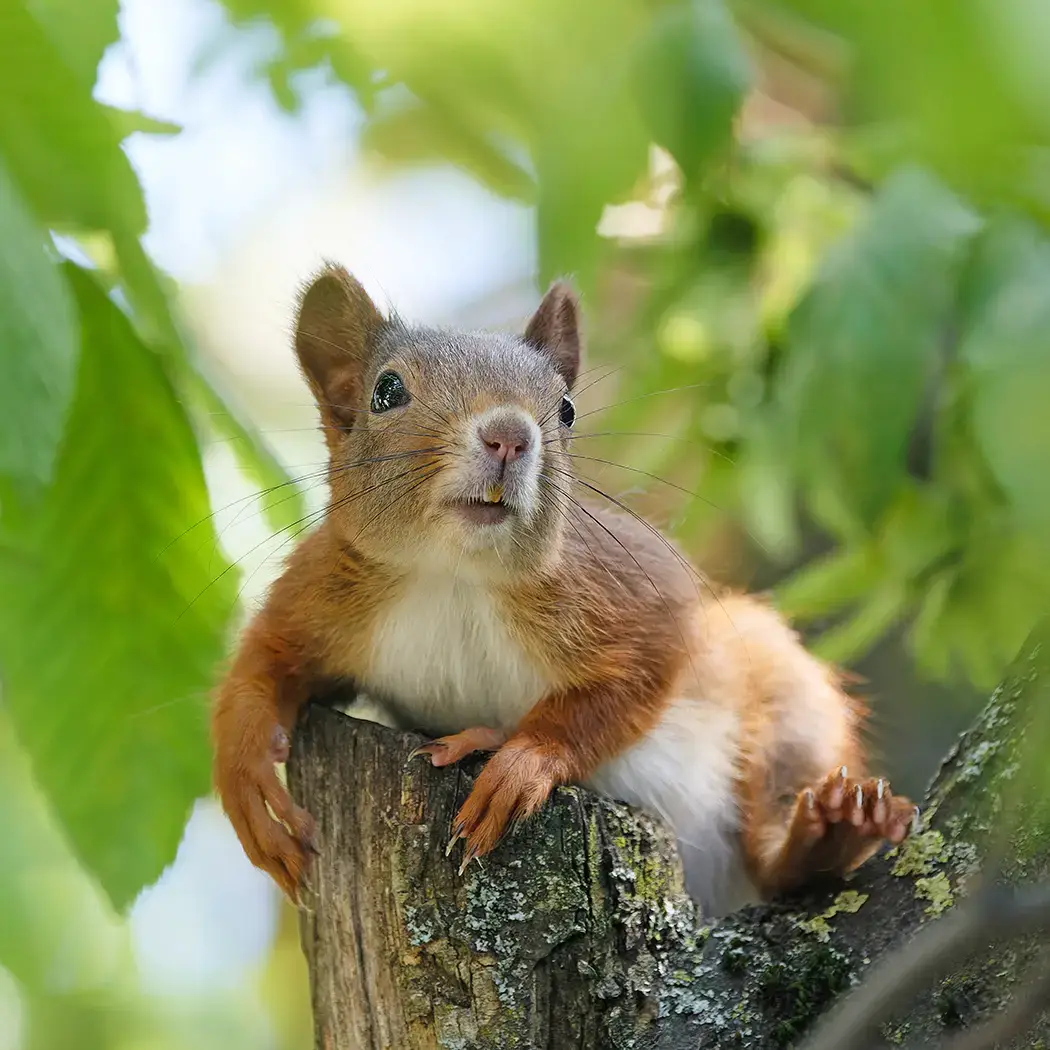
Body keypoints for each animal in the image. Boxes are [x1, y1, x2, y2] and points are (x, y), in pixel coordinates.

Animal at [211, 263, 917, 916]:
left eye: (567, 410)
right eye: (387, 391)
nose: (510, 435)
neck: (454, 577)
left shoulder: (637, 594)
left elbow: (632, 682)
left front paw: (522, 756)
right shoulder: (327, 587)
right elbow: (265, 661)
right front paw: (246, 774)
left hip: (786, 707)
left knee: (776, 847)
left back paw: (827, 833)